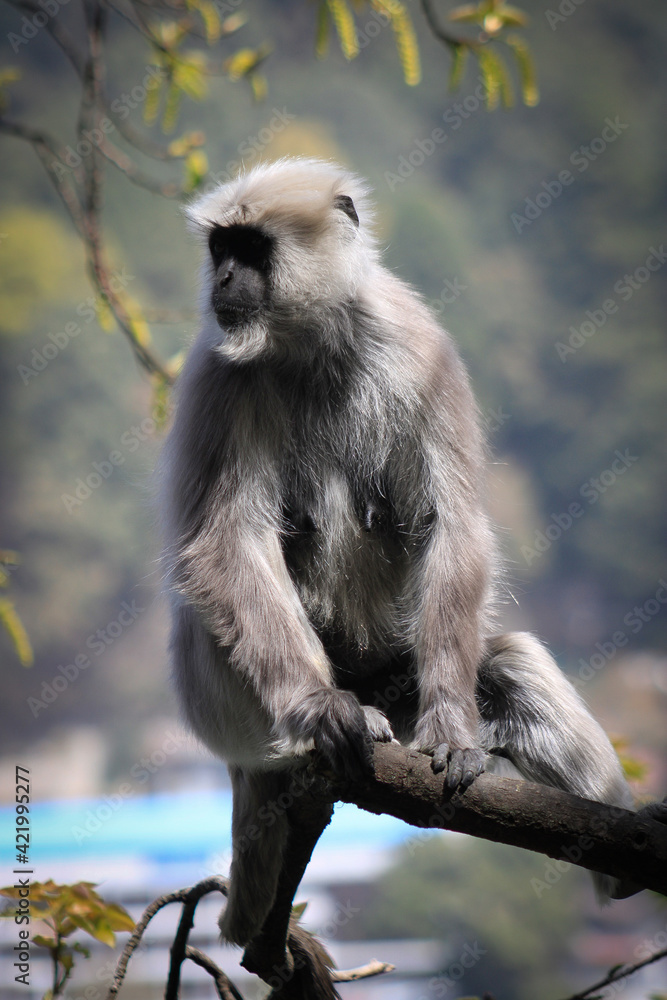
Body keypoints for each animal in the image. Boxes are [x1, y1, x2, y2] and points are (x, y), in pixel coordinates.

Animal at [160, 157, 641, 954]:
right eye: (220, 248)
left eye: (250, 249)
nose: (222, 280)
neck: (313, 346)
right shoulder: (216, 375)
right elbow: (222, 544)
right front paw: (320, 708)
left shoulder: (420, 346)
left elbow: (450, 526)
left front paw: (455, 730)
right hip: (226, 708)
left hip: (397, 680)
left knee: (509, 662)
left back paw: (622, 862)